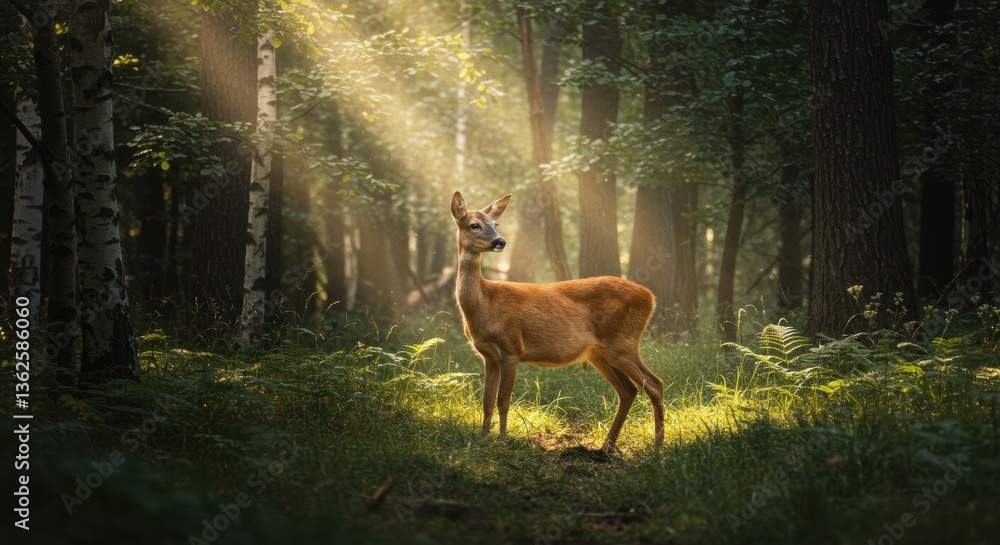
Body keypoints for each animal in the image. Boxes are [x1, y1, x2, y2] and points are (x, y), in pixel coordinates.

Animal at [450, 191, 665, 450]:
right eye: (474, 225)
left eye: (495, 224)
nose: (500, 242)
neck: (485, 304)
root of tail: (650, 297)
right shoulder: (489, 356)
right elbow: (487, 401)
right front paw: (483, 438)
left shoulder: (512, 348)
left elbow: (503, 400)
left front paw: (503, 439)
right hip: (599, 352)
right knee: (628, 390)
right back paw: (607, 445)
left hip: (622, 342)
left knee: (655, 384)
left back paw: (658, 445)